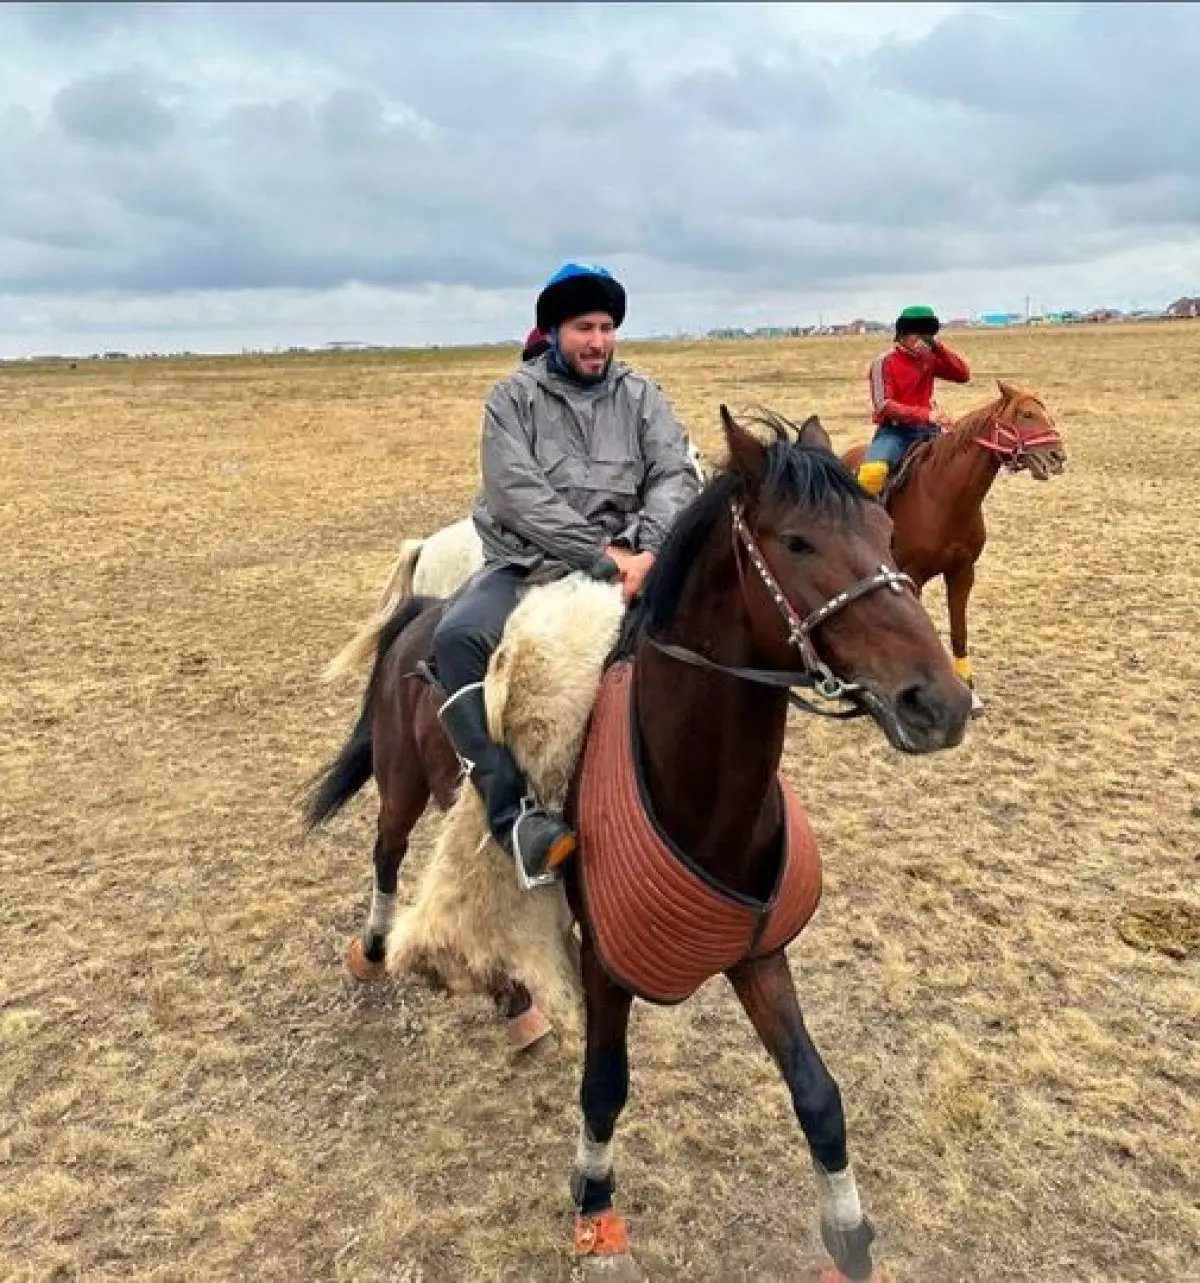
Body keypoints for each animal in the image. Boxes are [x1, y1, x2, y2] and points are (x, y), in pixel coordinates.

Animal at [305, 410, 970, 1283]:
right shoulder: (607, 963)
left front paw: (850, 1235)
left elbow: (818, 1093)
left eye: (887, 531)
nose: (942, 701)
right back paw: (374, 950)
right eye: (797, 543)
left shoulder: (757, 951)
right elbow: (604, 1086)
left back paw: (512, 1001)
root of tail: (422, 609)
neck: (699, 794)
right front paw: (594, 1205)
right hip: (403, 784)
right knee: (386, 855)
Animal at [841, 379, 1062, 718]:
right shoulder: (913, 576)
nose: (1057, 456)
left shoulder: (962, 572)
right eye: (1026, 414)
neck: (943, 497)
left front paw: (970, 692)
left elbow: (959, 631)